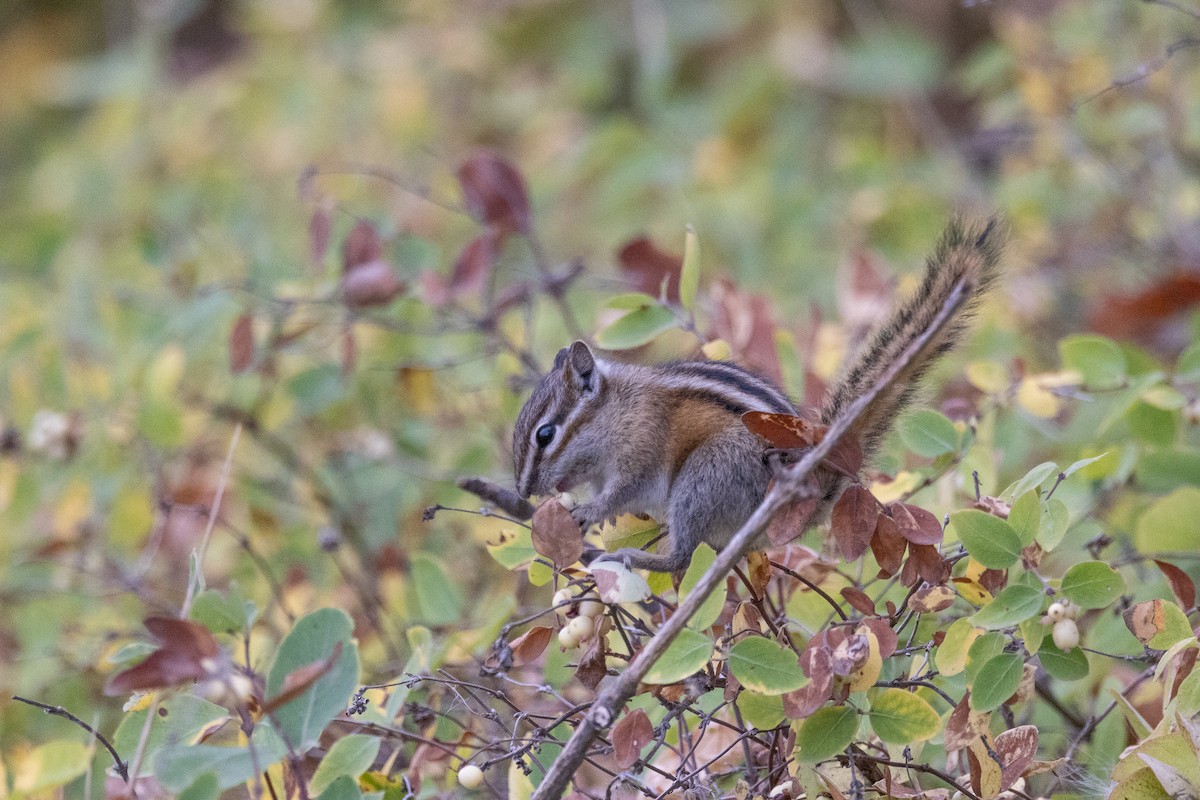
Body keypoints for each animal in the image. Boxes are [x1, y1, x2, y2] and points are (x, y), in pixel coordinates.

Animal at [512, 218, 1003, 573]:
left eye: (545, 435)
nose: (523, 493)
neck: (617, 410)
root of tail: (815, 483)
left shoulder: (641, 447)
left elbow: (624, 490)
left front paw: (590, 511)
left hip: (707, 476)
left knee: (683, 557)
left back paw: (634, 557)